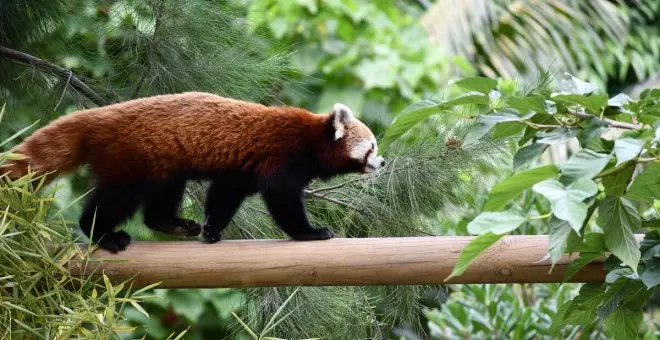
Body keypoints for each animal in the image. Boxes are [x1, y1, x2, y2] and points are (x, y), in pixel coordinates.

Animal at [2, 92, 384, 252]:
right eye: (372, 146)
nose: (382, 163)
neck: (310, 139)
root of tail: (101, 116)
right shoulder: (280, 159)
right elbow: (283, 201)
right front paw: (310, 232)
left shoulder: (241, 169)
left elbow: (225, 194)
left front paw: (212, 229)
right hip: (133, 160)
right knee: (116, 199)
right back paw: (104, 234)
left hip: (165, 165)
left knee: (160, 200)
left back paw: (176, 225)